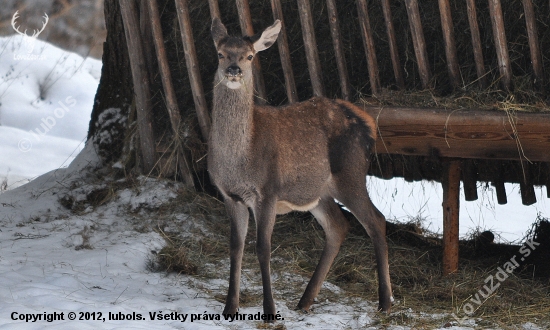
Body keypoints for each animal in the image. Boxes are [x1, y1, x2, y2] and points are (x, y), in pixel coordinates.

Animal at [207, 18, 392, 320]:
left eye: (250, 56)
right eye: (221, 54)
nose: (234, 70)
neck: (239, 160)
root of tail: (369, 123)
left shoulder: (267, 191)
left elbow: (263, 248)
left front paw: (269, 310)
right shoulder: (229, 195)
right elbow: (235, 247)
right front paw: (229, 308)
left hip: (351, 173)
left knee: (376, 220)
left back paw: (385, 302)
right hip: (318, 192)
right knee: (338, 226)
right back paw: (305, 300)